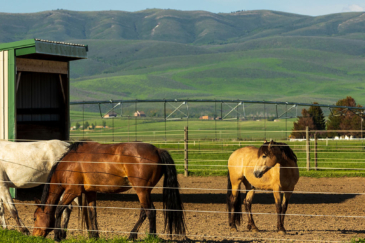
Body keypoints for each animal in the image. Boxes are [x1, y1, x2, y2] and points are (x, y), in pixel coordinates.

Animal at [32, 142, 185, 241]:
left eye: (34, 218)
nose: (35, 236)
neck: (69, 163)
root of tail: (157, 150)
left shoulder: (72, 191)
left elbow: (58, 210)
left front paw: (57, 236)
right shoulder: (90, 193)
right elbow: (93, 214)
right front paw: (94, 236)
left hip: (142, 191)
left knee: (150, 212)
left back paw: (151, 236)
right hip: (144, 192)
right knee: (144, 213)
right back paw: (132, 235)